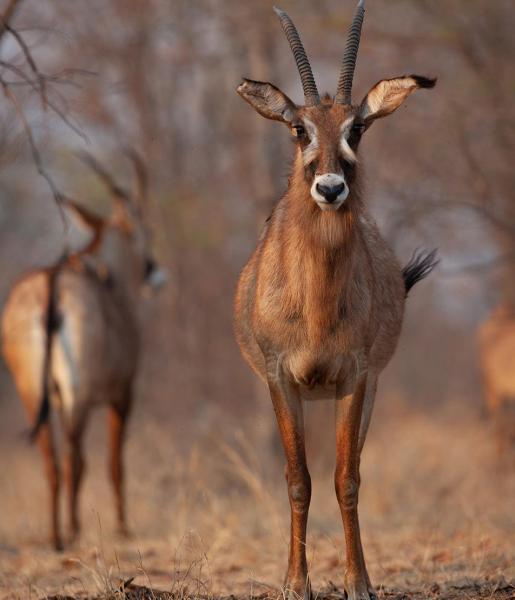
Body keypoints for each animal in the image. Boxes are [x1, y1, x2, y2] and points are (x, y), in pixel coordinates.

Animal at [1, 152, 166, 552]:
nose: (156, 276)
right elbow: (113, 462)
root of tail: (52, 284)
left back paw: (56, 535)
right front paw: (123, 528)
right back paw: (72, 531)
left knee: (52, 460)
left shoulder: (58, 399)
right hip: (79, 395)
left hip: (35, 394)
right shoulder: (122, 395)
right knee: (75, 458)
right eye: (146, 231)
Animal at [236, 2, 438, 596]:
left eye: (358, 128)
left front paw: (358, 581)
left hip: (365, 392)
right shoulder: (281, 378)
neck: (318, 306)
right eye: (298, 128)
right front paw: (295, 582)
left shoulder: (355, 378)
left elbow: (346, 479)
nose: (330, 188)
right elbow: (298, 480)